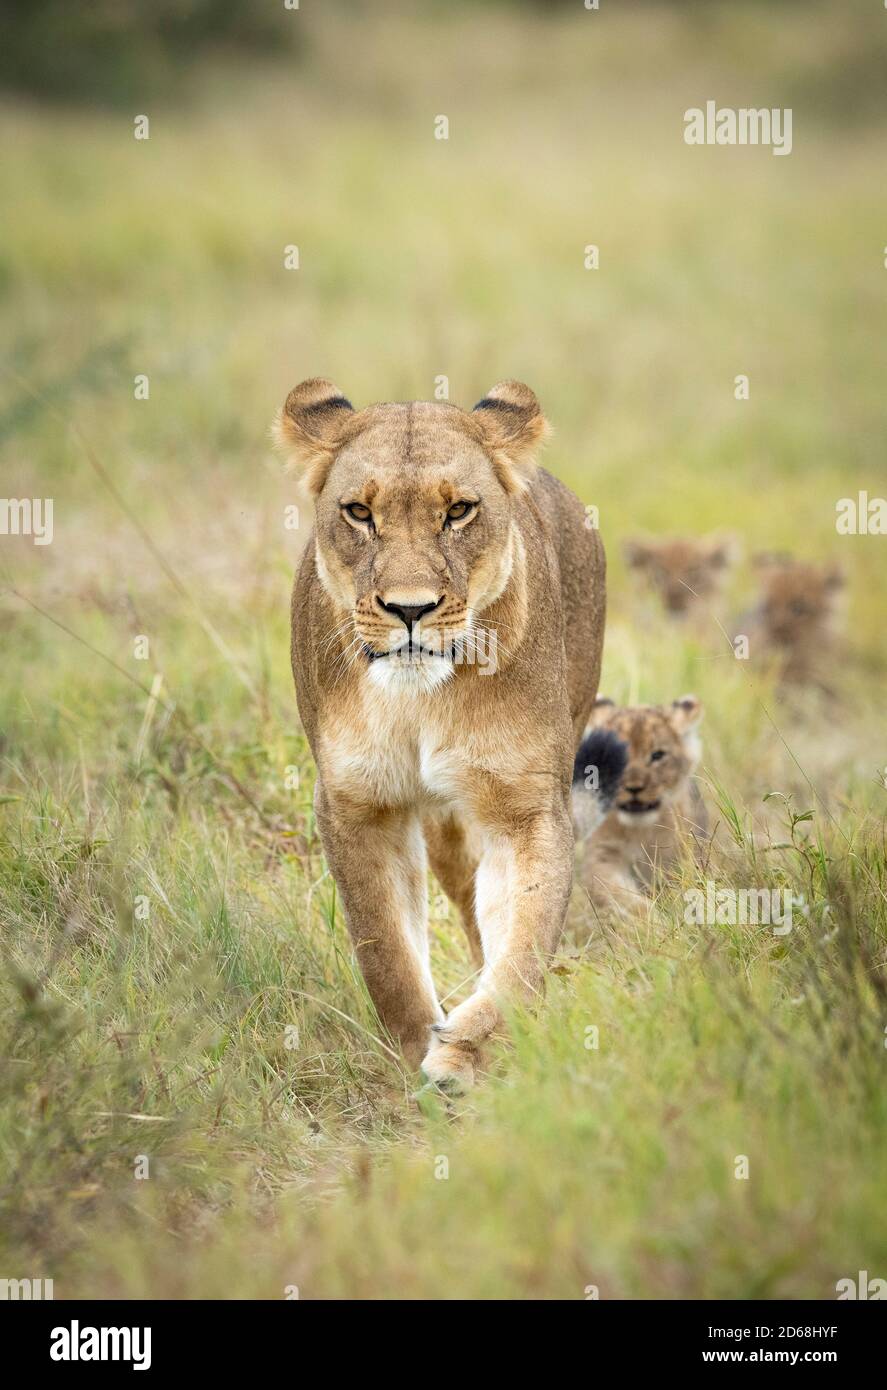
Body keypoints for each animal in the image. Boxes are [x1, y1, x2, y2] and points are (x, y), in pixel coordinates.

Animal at [274, 378, 607, 1092]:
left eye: (458, 510)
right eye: (358, 512)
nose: (410, 609)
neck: (417, 702)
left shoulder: (526, 807)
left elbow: (522, 949)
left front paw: (464, 1055)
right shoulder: (355, 804)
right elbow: (386, 952)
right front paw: (413, 1060)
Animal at [572, 694, 706, 915]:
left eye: (657, 755)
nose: (634, 788)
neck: (640, 831)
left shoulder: (684, 857)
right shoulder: (603, 856)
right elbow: (621, 895)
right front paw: (651, 918)